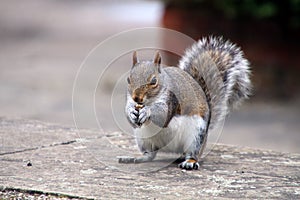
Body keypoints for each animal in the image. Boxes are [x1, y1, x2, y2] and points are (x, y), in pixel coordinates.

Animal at [118, 36, 252, 170]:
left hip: (196, 136)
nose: (137, 98)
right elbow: (128, 112)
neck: (150, 101)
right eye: (128, 79)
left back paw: (190, 162)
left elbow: (163, 116)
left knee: (192, 153)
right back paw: (137, 158)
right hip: (143, 139)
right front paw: (131, 112)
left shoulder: (172, 100)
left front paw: (147, 111)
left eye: (154, 81)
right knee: (150, 155)